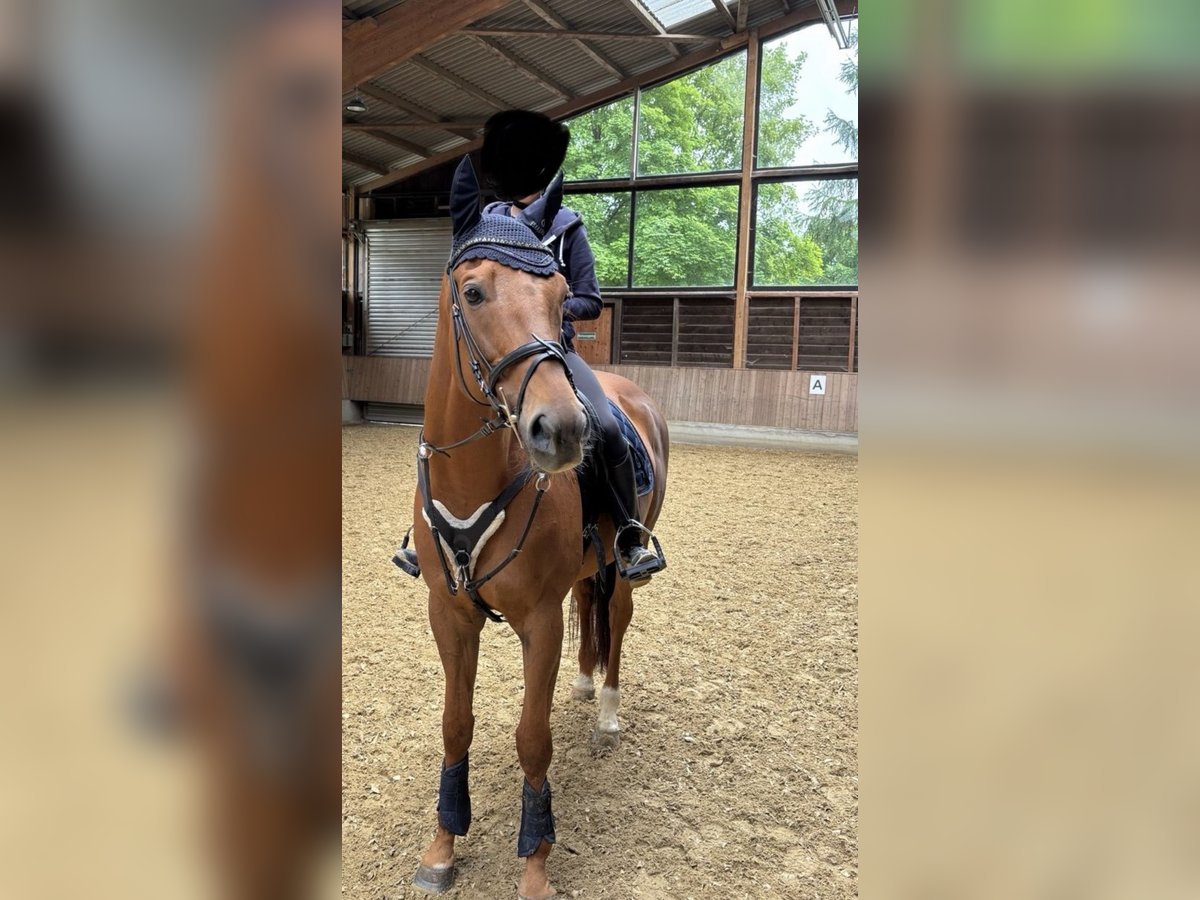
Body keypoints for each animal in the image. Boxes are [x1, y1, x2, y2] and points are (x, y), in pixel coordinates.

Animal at [405, 156, 669, 899]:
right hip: (586, 566)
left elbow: (533, 737)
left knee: (619, 618)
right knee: (591, 603)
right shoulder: (449, 613)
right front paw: (443, 847)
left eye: (558, 295)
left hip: (625, 560)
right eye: (473, 291)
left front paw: (535, 861)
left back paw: (605, 711)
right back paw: (581, 685)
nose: (564, 430)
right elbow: (455, 724)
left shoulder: (539, 620)